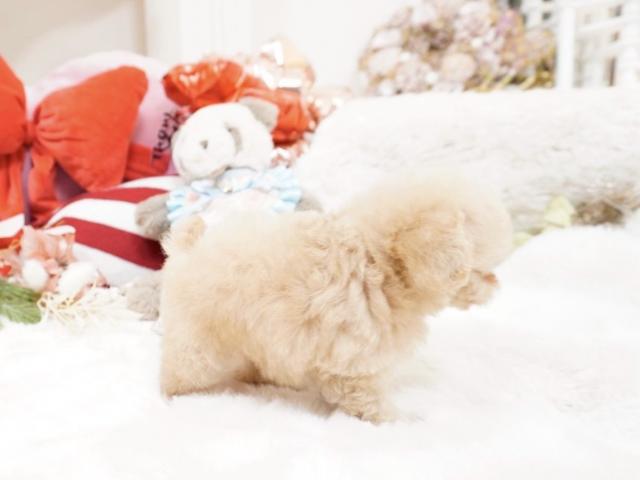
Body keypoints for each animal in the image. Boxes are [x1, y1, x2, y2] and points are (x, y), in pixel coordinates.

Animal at [159, 171, 513, 422]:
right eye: (479, 270)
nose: (497, 284)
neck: (376, 262)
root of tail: (187, 248)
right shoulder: (355, 360)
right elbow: (368, 398)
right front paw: (395, 421)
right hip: (198, 339)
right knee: (181, 369)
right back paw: (174, 397)